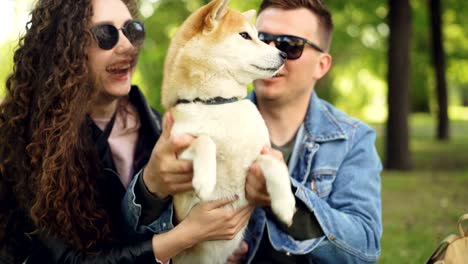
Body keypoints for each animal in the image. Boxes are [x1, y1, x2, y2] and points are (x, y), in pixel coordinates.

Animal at [161, 0, 296, 262]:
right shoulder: (176, 152)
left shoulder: (259, 154)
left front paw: (285, 204)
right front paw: (205, 179)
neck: (218, 103)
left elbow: (276, 165)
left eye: (258, 36)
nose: (284, 54)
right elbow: (205, 140)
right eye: (245, 35)